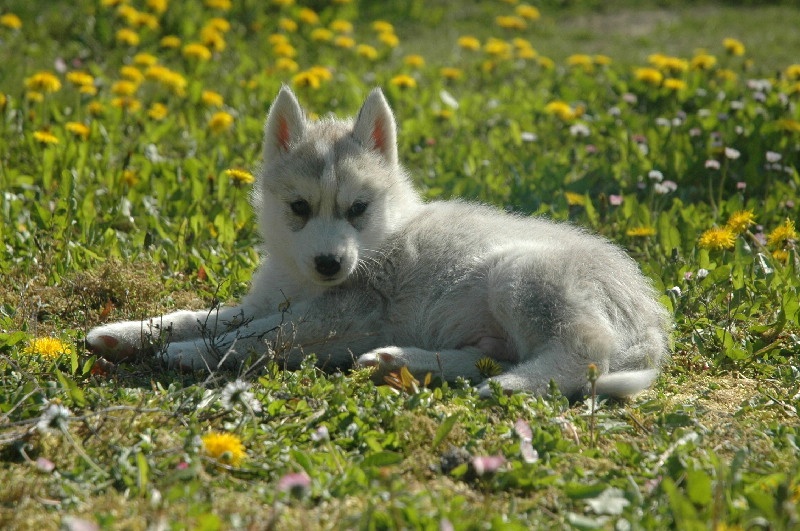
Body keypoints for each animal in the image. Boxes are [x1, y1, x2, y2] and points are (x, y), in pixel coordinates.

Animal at [87, 86, 671, 399]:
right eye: (299, 208)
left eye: (357, 209)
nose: (329, 263)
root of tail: (650, 317)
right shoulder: (273, 301)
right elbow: (203, 316)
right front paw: (128, 333)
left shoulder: (343, 315)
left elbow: (254, 336)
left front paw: (186, 354)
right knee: (493, 355)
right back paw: (398, 361)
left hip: (521, 277)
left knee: (584, 353)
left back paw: (512, 385)